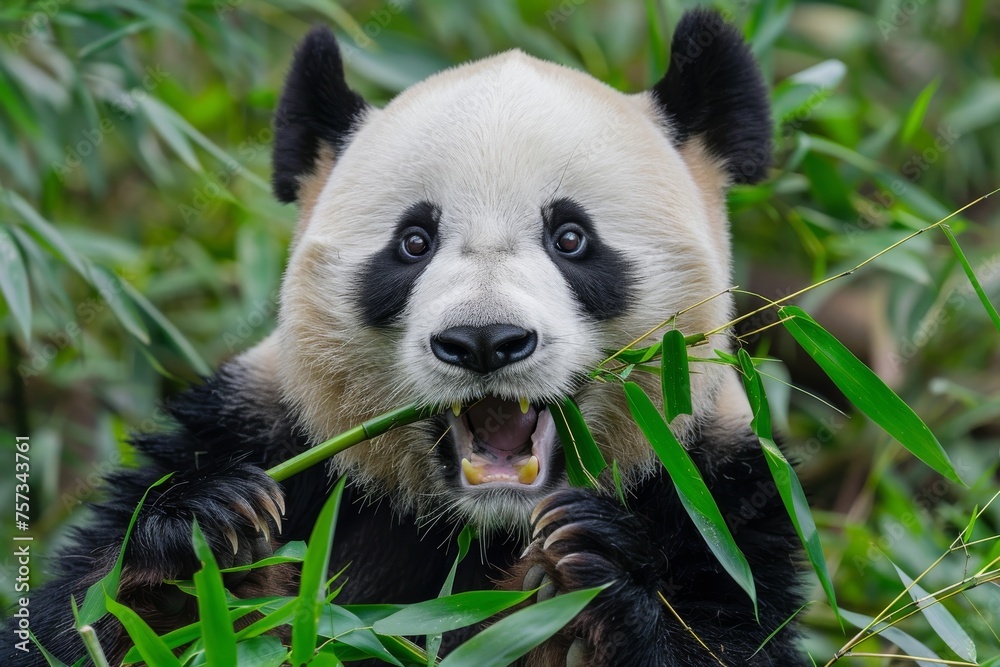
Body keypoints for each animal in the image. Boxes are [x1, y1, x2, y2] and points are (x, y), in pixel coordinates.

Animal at [10, 9, 804, 666]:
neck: (482, 526)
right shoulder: (258, 425)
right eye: (413, 242)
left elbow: (726, 631)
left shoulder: (719, 488)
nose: (484, 340)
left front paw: (591, 566)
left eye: (572, 237)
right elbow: (70, 622)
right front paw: (204, 542)